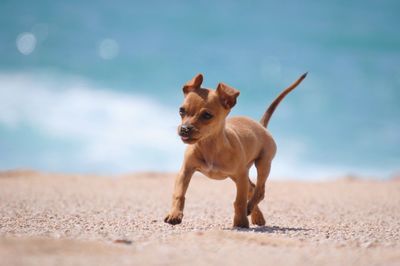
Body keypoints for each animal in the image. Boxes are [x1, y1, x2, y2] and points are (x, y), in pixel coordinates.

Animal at [164, 72, 308, 229]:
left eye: (207, 115)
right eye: (181, 111)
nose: (184, 129)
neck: (210, 145)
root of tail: (260, 125)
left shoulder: (240, 175)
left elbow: (239, 201)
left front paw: (240, 222)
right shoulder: (185, 171)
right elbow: (178, 194)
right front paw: (174, 214)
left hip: (262, 164)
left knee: (259, 190)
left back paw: (249, 209)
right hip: (238, 175)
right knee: (252, 188)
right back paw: (257, 216)